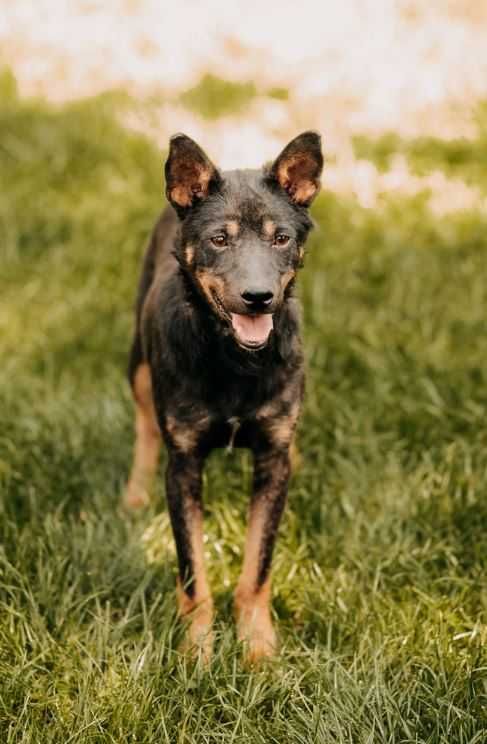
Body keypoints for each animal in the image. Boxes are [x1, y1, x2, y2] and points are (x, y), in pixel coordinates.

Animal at [126, 132, 324, 664]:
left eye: (281, 238)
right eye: (219, 239)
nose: (258, 297)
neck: (236, 361)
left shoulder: (271, 462)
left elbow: (258, 567)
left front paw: (258, 648)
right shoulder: (184, 465)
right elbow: (193, 573)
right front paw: (197, 652)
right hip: (138, 363)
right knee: (144, 423)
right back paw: (134, 493)